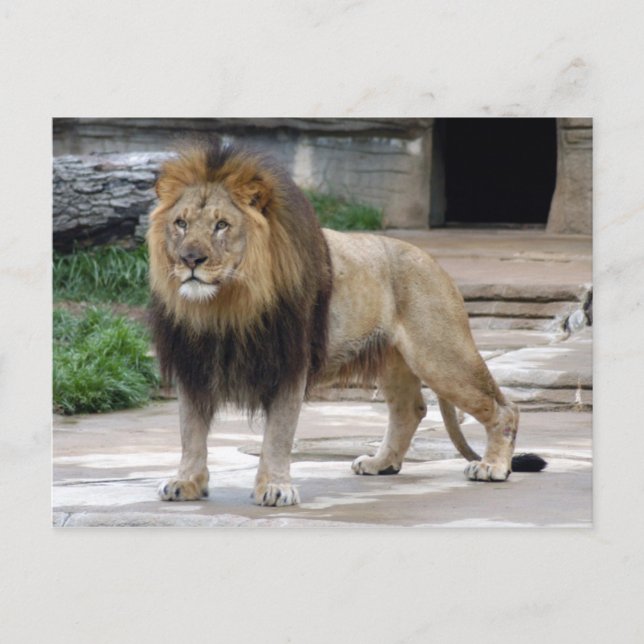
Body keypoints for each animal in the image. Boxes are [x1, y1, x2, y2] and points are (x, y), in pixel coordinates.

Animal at [147, 139, 546, 507]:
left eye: (221, 225)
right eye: (181, 223)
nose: (190, 259)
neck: (223, 306)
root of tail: (434, 262)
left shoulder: (290, 364)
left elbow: (277, 434)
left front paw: (275, 487)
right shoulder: (193, 365)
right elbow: (191, 431)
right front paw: (187, 483)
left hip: (440, 355)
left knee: (504, 408)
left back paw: (493, 466)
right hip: (394, 360)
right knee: (410, 409)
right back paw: (381, 463)